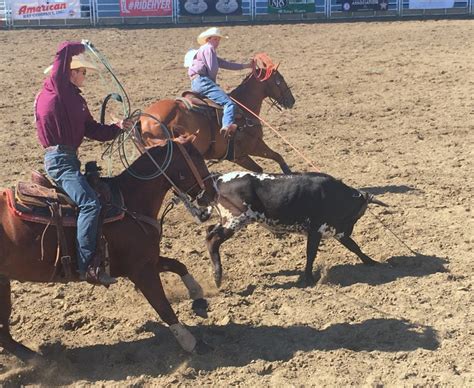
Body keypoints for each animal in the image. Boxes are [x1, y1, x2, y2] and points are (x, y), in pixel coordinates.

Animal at [0, 139, 218, 360]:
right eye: (198, 160)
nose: (213, 193)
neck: (130, 202)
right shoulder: (140, 270)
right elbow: (163, 306)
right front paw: (192, 343)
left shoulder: (146, 261)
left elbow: (178, 265)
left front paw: (198, 298)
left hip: (4, 283)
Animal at [141, 59, 296, 174]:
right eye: (280, 79)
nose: (292, 100)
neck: (244, 108)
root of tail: (143, 120)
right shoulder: (254, 145)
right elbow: (278, 157)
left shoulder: (238, 156)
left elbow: (259, 169)